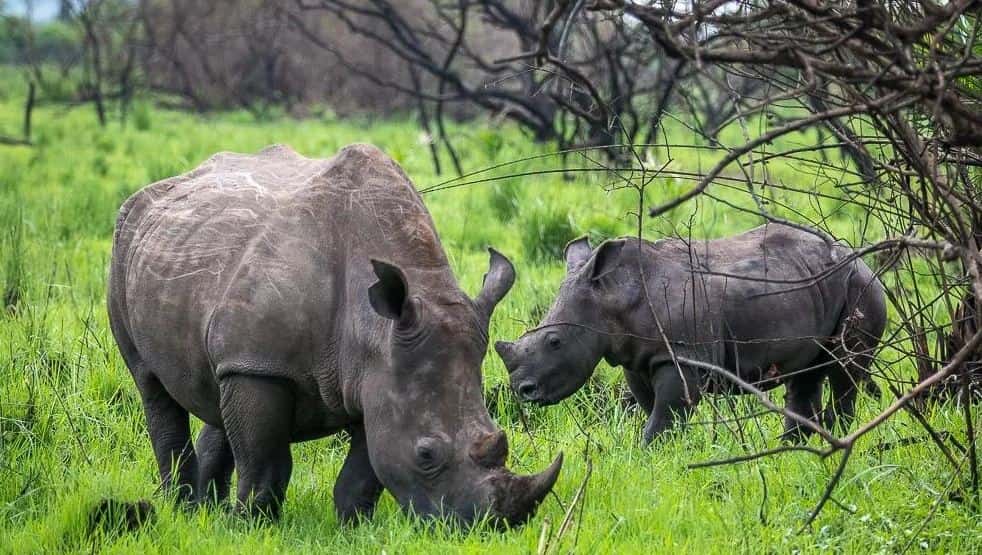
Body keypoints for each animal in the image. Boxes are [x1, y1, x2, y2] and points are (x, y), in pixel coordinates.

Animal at [107, 144, 562, 525]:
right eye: (426, 454)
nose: (486, 527)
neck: (375, 326)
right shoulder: (266, 366)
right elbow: (265, 462)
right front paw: (252, 526)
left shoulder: (377, 378)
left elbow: (364, 471)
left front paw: (353, 527)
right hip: (124, 244)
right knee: (152, 385)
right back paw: (183, 508)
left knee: (216, 387)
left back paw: (207, 511)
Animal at [495, 224, 886, 443]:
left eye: (555, 342)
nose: (523, 391)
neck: (612, 295)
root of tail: (860, 259)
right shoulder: (637, 357)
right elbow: (652, 407)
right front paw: (661, 453)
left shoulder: (682, 355)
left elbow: (667, 411)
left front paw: (651, 453)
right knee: (807, 374)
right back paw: (794, 448)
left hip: (859, 287)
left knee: (845, 369)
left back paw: (835, 437)